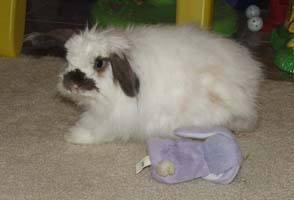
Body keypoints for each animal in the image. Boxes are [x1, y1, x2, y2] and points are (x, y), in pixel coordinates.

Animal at [56, 24, 262, 145]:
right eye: (68, 61)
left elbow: (97, 131)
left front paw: (73, 136)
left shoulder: (112, 118)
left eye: (99, 63)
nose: (70, 84)